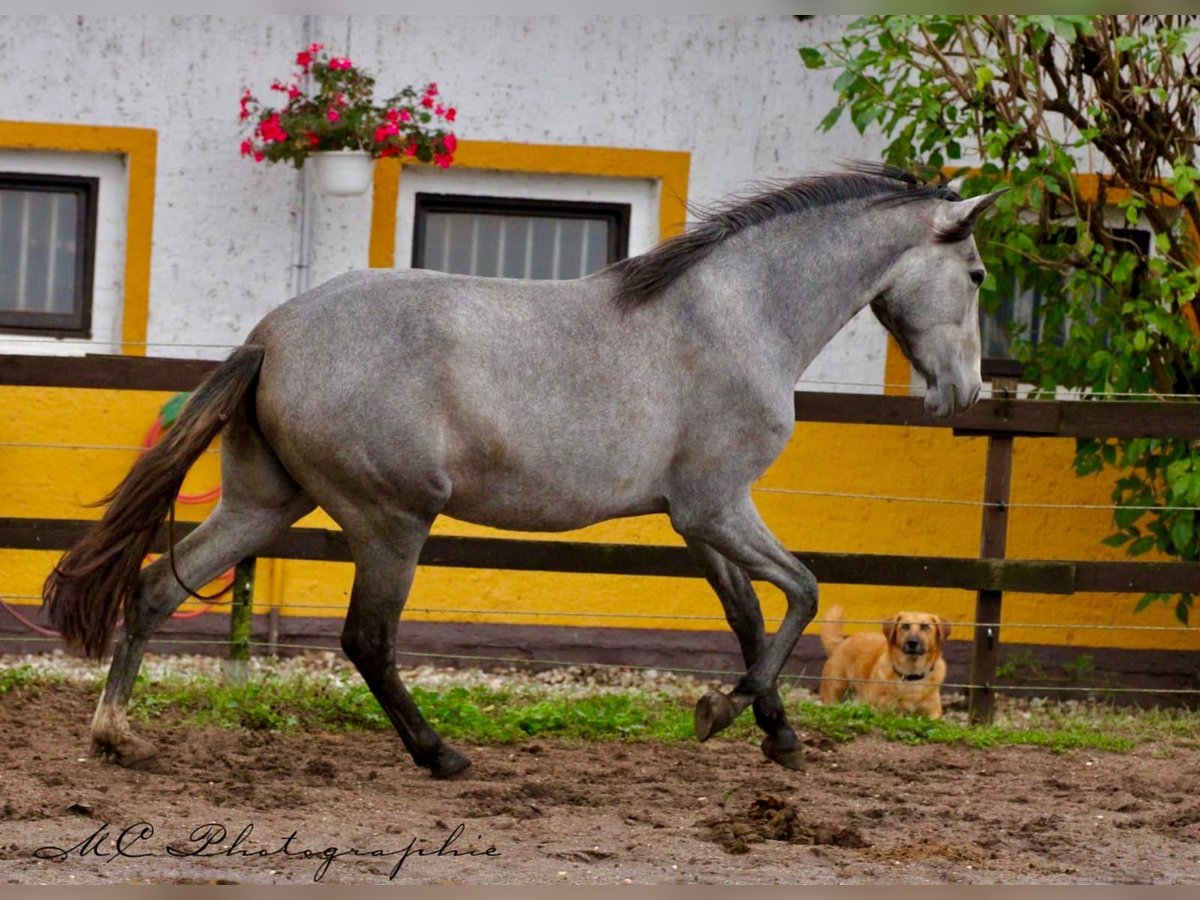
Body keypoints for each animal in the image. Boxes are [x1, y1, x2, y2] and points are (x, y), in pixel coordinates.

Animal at [43, 163, 1002, 779]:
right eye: (979, 273)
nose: (966, 392)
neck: (741, 314)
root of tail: (270, 336)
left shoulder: (699, 518)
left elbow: (750, 615)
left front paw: (776, 735)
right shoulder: (718, 506)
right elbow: (801, 592)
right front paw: (726, 714)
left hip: (263, 503)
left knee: (154, 591)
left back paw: (117, 738)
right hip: (390, 520)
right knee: (366, 640)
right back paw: (442, 756)